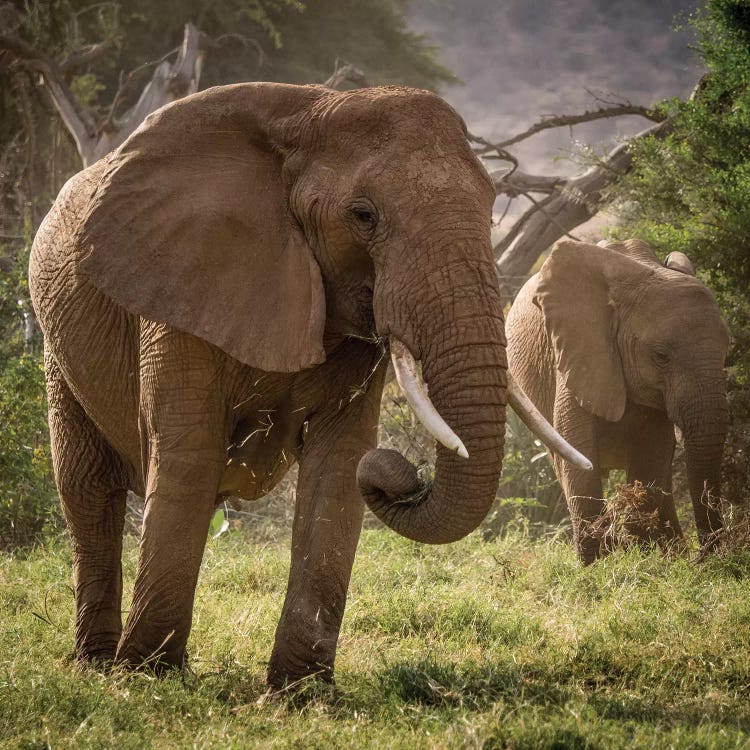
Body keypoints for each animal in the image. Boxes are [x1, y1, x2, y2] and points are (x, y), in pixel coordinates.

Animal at [32, 82, 588, 688]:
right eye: (363, 215)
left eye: (491, 209)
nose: (400, 471)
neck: (309, 114)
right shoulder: (179, 284)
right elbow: (189, 453)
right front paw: (148, 678)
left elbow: (340, 462)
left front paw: (298, 691)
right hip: (57, 346)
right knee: (88, 489)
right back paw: (95, 663)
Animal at [508, 239, 732, 564]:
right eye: (661, 356)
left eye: (727, 349)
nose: (707, 555)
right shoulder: (578, 352)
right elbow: (577, 449)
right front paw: (597, 564)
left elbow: (651, 453)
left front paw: (642, 555)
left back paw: (670, 551)